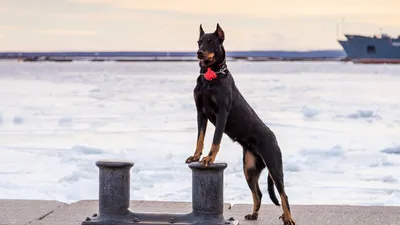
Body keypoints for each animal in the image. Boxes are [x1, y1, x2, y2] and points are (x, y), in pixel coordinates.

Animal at [186, 23, 296, 225]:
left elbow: (215, 140)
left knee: (283, 194)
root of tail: (273, 137)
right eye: (199, 41)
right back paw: (255, 214)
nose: (199, 53)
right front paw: (196, 156)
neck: (210, 76)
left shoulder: (222, 113)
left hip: (274, 166)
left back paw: (289, 218)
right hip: (249, 169)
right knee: (258, 193)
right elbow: (200, 137)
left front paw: (209, 159)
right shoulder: (200, 113)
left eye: (211, 41)